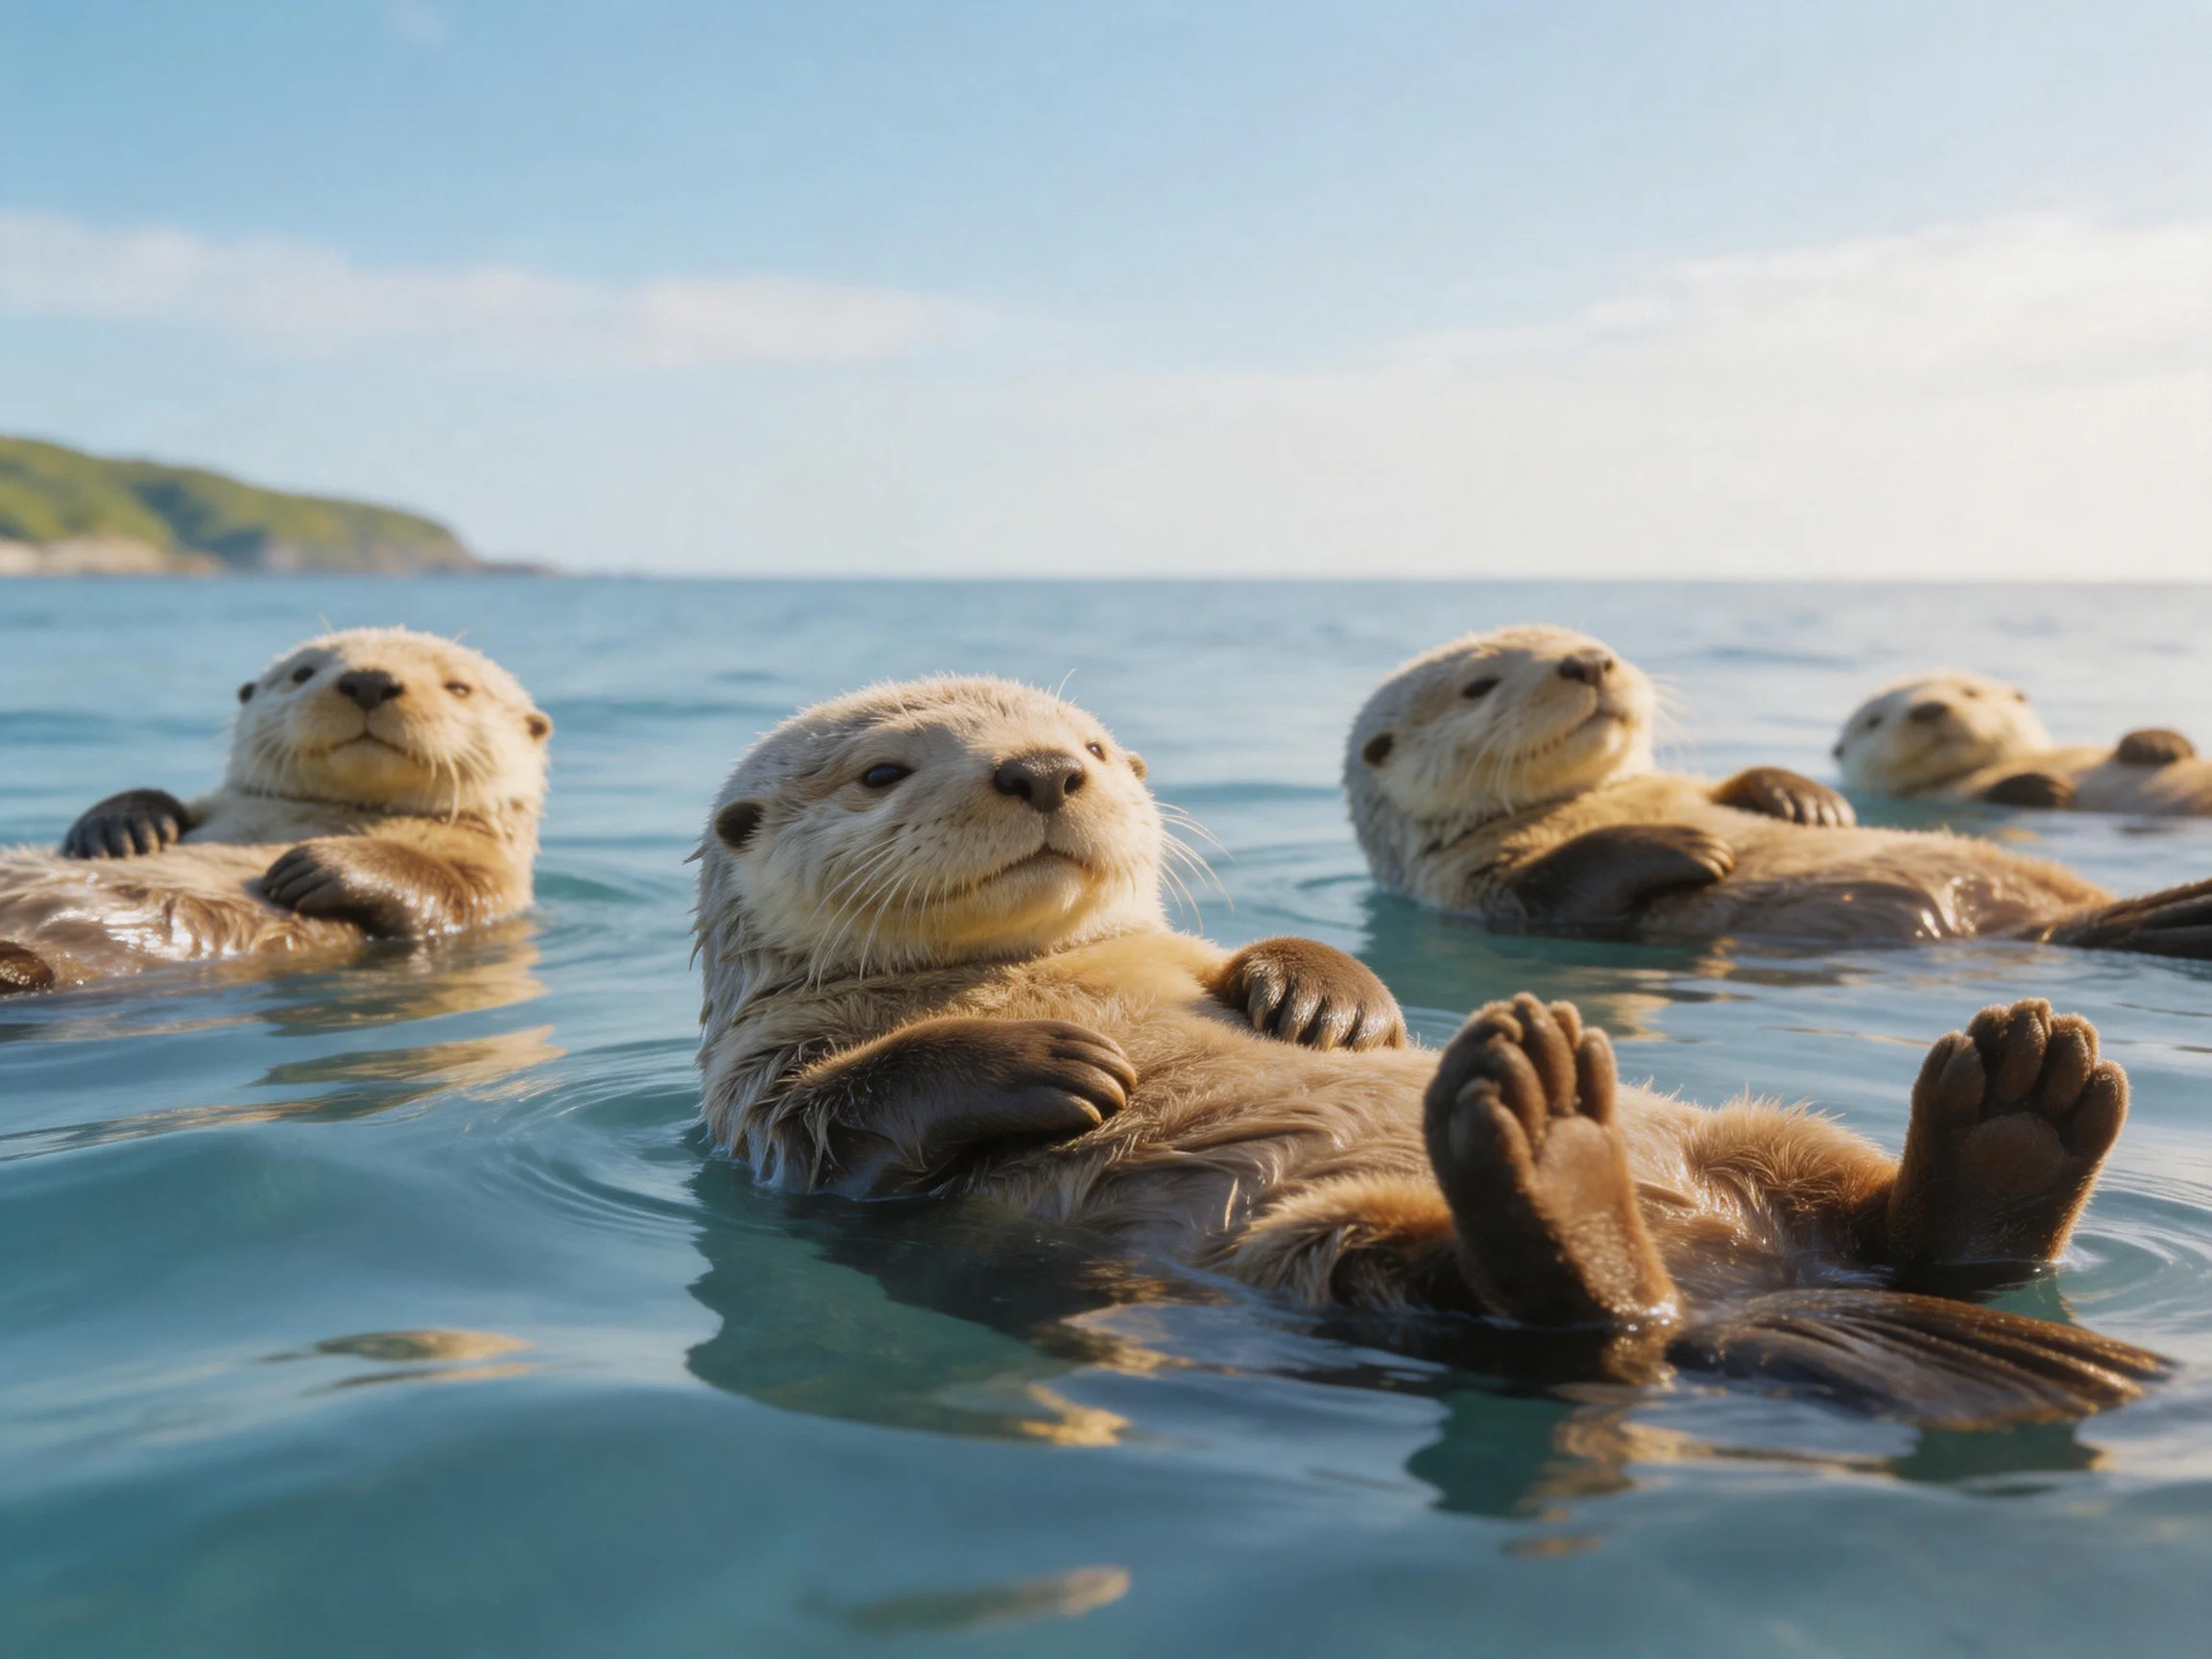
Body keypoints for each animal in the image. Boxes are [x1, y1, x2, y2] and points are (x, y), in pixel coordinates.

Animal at [0, 627, 551, 992]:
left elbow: (446, 887)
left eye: (459, 687)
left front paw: (316, 865)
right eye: (302, 673)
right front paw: (122, 828)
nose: (369, 681)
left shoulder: (497, 881)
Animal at [694, 675, 2165, 1424]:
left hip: (1771, 1133)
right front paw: (1046, 1062)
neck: (1033, 965)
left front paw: (1323, 1002)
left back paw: (2017, 1107)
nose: (1047, 771)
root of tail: (1740, 1295)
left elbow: (1270, 960)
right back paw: (1550, 1145)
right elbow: (849, 1116)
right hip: (1327, 1248)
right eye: (884, 772)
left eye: (1097, 745)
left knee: (1906, 1224)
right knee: (1536, 1299)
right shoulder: (759, 1092)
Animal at [1837, 668, 2212, 815]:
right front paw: (2043, 787)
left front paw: (2157, 744)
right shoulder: (1944, 795)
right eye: (1874, 721)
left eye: (1970, 693)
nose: (1929, 709)